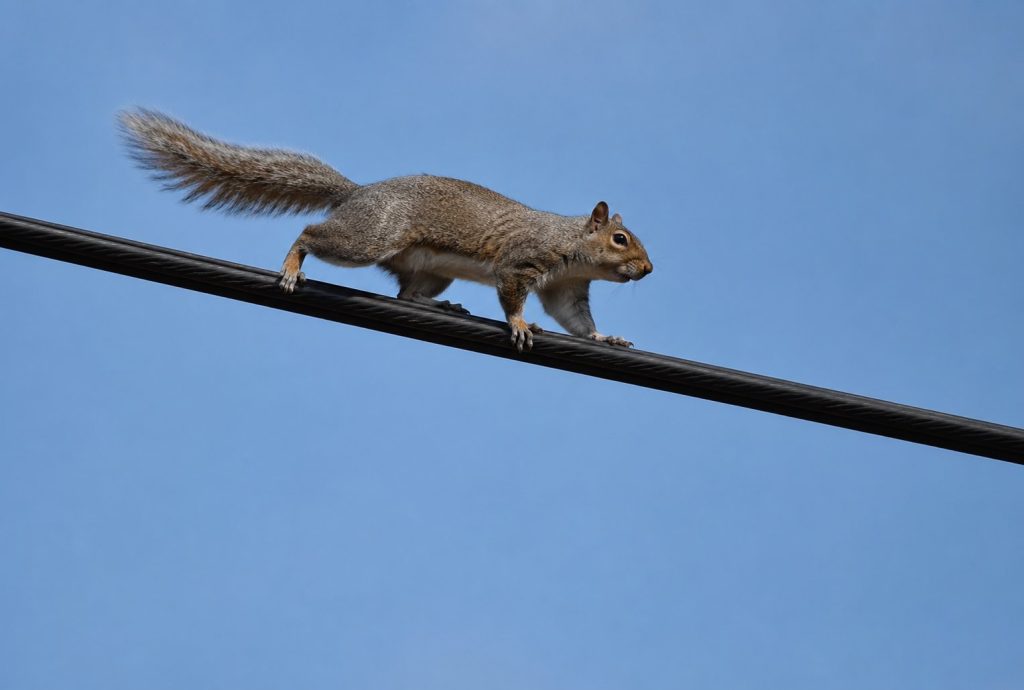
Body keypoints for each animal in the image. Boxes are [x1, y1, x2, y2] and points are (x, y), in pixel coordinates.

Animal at [119, 109, 653, 351]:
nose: (648, 269)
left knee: (405, 294)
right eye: (620, 239)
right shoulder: (521, 261)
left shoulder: (567, 288)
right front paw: (521, 325)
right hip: (371, 237)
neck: (571, 246)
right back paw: (292, 264)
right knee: (310, 234)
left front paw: (606, 337)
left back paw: (441, 305)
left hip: (432, 270)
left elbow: (576, 320)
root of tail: (356, 193)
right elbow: (512, 296)